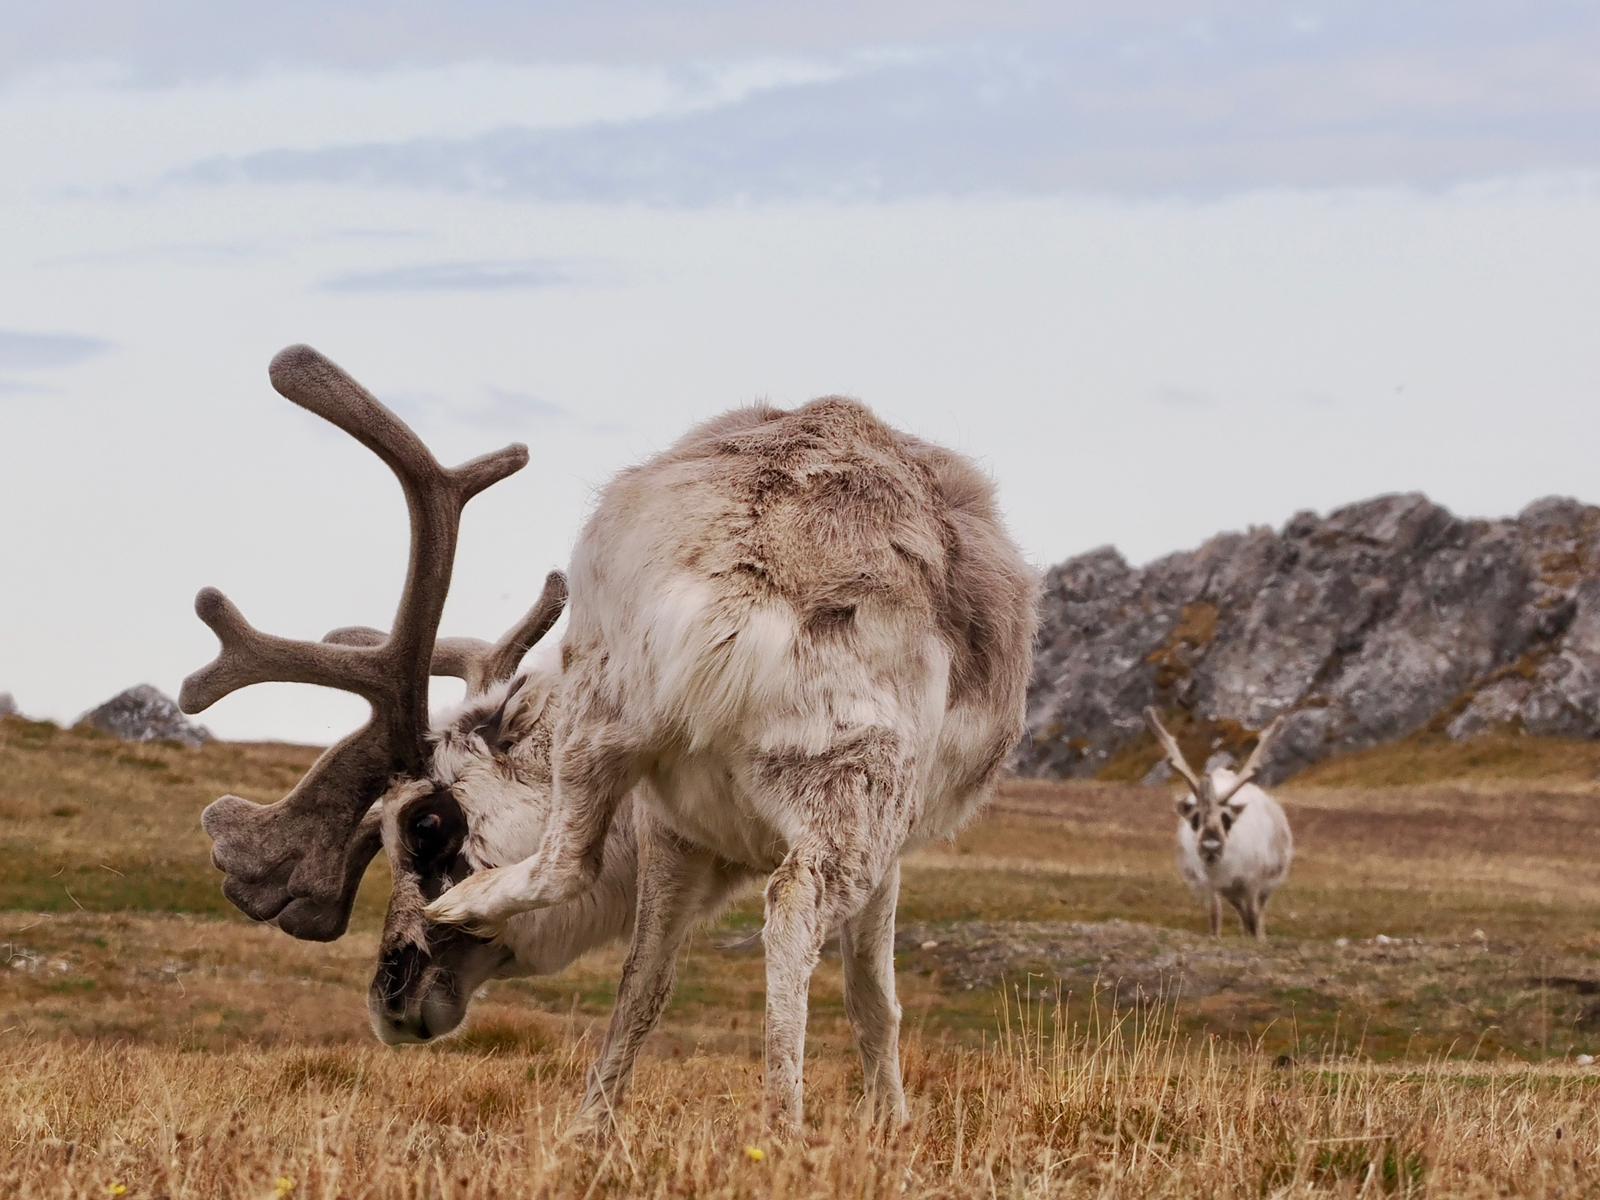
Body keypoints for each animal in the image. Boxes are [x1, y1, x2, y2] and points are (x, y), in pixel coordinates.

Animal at [181, 345, 1038, 1137]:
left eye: (424, 824)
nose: (390, 996)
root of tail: (740, 570)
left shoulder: (673, 833)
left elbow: (644, 981)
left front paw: (593, 1125)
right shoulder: (863, 849)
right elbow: (872, 998)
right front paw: (888, 1124)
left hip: (609, 713)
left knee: (575, 866)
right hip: (853, 783)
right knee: (785, 904)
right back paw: (781, 1124)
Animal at [1143, 708, 1292, 940]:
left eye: (1226, 818)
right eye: (1195, 818)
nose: (1211, 847)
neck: (1222, 870)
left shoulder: (1252, 884)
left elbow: (1254, 919)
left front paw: (1257, 939)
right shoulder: (1207, 887)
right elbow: (1215, 917)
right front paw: (1216, 936)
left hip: (1268, 883)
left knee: (1256, 915)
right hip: (1232, 894)